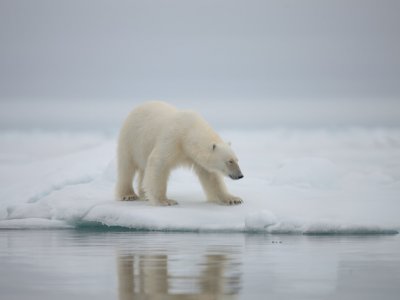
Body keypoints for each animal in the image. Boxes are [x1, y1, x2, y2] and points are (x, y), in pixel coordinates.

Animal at [114, 101, 242, 206]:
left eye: (237, 160)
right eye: (229, 161)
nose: (240, 175)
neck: (188, 132)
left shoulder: (195, 157)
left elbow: (211, 178)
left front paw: (233, 199)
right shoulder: (172, 139)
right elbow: (158, 163)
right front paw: (165, 201)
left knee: (143, 170)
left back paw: (144, 195)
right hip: (130, 139)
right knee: (126, 167)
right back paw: (128, 195)